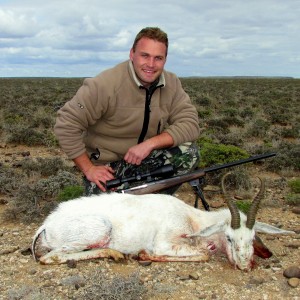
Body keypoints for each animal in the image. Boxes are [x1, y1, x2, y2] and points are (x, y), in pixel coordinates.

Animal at [31, 175, 294, 270]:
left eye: (252, 237)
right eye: (229, 237)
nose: (245, 265)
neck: (191, 218)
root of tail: (47, 224)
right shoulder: (165, 244)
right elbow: (203, 254)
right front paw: (143, 255)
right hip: (100, 229)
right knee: (50, 257)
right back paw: (117, 254)